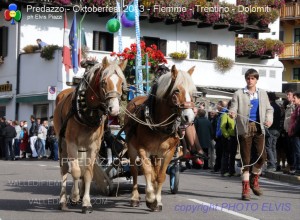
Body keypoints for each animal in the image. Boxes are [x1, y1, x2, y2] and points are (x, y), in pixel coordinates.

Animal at [54, 57, 126, 213]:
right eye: (104, 82)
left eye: (121, 83)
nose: (114, 109)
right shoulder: (71, 143)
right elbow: (75, 171)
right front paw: (74, 197)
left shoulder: (93, 146)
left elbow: (87, 173)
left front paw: (86, 203)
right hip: (63, 143)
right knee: (64, 169)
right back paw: (63, 201)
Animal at [124, 64, 197, 211]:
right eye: (176, 90)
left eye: (192, 93)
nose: (189, 117)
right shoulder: (142, 149)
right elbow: (146, 171)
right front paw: (150, 198)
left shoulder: (168, 152)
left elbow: (161, 175)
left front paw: (157, 201)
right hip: (132, 148)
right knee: (134, 170)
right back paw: (135, 197)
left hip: (156, 154)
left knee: (155, 172)